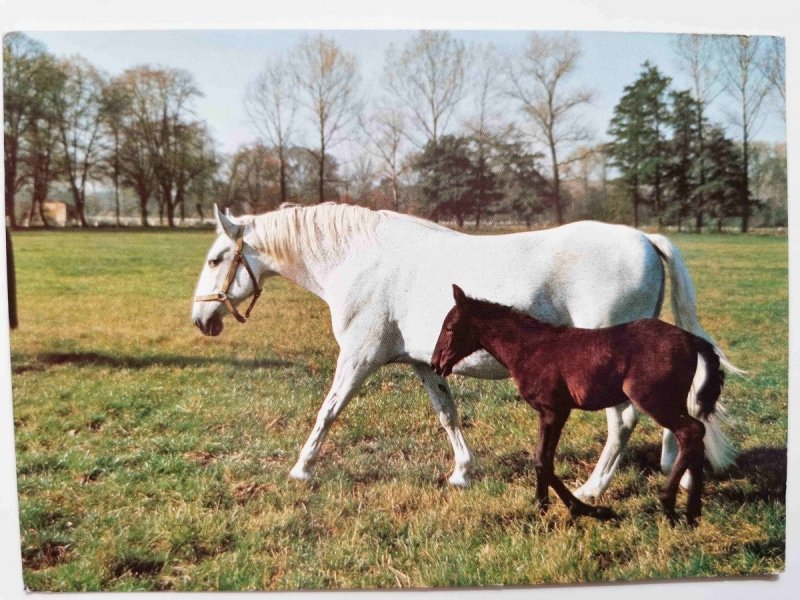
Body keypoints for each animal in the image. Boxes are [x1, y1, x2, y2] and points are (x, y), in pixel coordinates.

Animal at [191, 204, 736, 500]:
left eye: (216, 259)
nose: (201, 321)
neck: (360, 260)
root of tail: (644, 237)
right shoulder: (423, 364)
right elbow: (447, 415)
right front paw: (462, 472)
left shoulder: (359, 358)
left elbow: (328, 412)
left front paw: (301, 469)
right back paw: (676, 478)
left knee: (622, 424)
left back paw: (590, 490)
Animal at [432, 286, 724, 524]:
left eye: (449, 328)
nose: (436, 364)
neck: (529, 348)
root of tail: (690, 340)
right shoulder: (547, 413)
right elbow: (541, 458)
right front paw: (541, 505)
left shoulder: (555, 410)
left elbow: (543, 460)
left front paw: (587, 509)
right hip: (673, 402)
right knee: (696, 433)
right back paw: (693, 512)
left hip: (654, 400)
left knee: (690, 432)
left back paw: (668, 504)